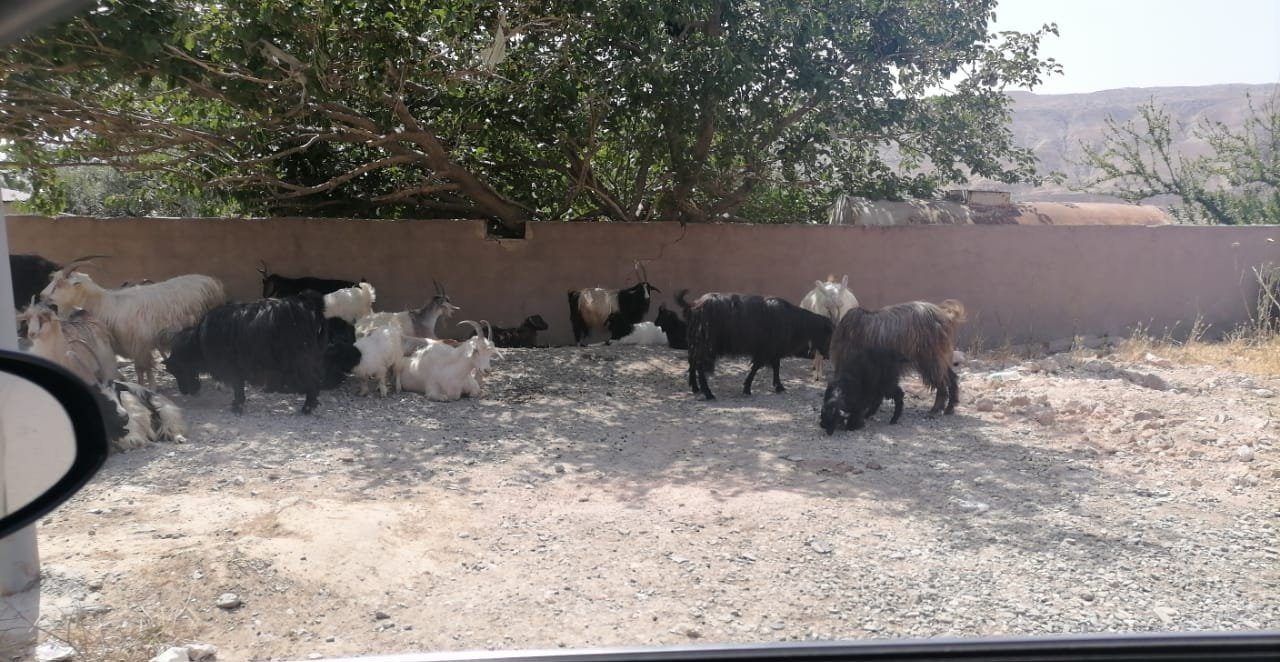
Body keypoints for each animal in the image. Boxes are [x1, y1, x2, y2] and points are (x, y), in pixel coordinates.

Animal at [40, 257, 226, 386]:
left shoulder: (140, 343)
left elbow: (145, 368)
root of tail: (213, 281)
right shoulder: (134, 345)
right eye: (53, 279)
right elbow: (139, 370)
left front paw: (151, 388)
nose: (42, 295)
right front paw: (143, 386)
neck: (108, 304)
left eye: (60, 283)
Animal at [164, 291, 329, 414]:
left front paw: (237, 407)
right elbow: (239, 386)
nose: (185, 392)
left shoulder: (232, 367)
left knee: (313, 381)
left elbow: (237, 386)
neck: (199, 341)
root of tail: (306, 304)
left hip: (301, 358)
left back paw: (307, 407)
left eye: (178, 370)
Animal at [683, 292, 834, 400]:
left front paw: (779, 386)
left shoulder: (773, 350)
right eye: (829, 335)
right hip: (705, 346)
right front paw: (747, 388)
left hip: (695, 344)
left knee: (692, 362)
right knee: (699, 365)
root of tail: (697, 307)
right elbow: (757, 367)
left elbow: (776, 367)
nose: (828, 355)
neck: (793, 321)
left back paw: (695, 388)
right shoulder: (765, 350)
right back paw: (708, 393)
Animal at [829, 299, 966, 415]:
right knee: (951, 377)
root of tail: (944, 316)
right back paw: (950, 407)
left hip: (930, 357)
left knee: (942, 382)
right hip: (938, 357)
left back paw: (935, 409)